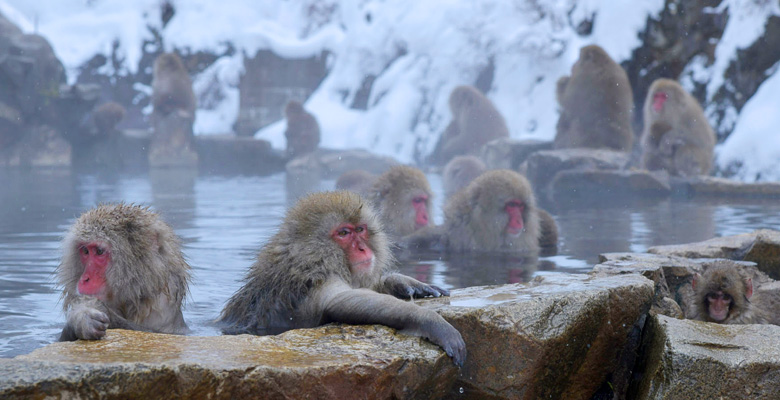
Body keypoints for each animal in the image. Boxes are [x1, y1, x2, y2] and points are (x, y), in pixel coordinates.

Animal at [57, 203, 191, 340]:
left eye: (99, 251)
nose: (85, 279)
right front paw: (80, 319)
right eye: (85, 251)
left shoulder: (162, 303)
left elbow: (156, 333)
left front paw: (90, 311)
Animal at [216, 191, 466, 366]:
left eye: (360, 229)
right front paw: (431, 322)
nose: (363, 249)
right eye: (343, 233)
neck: (308, 259)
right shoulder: (321, 282)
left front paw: (404, 283)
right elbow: (342, 302)